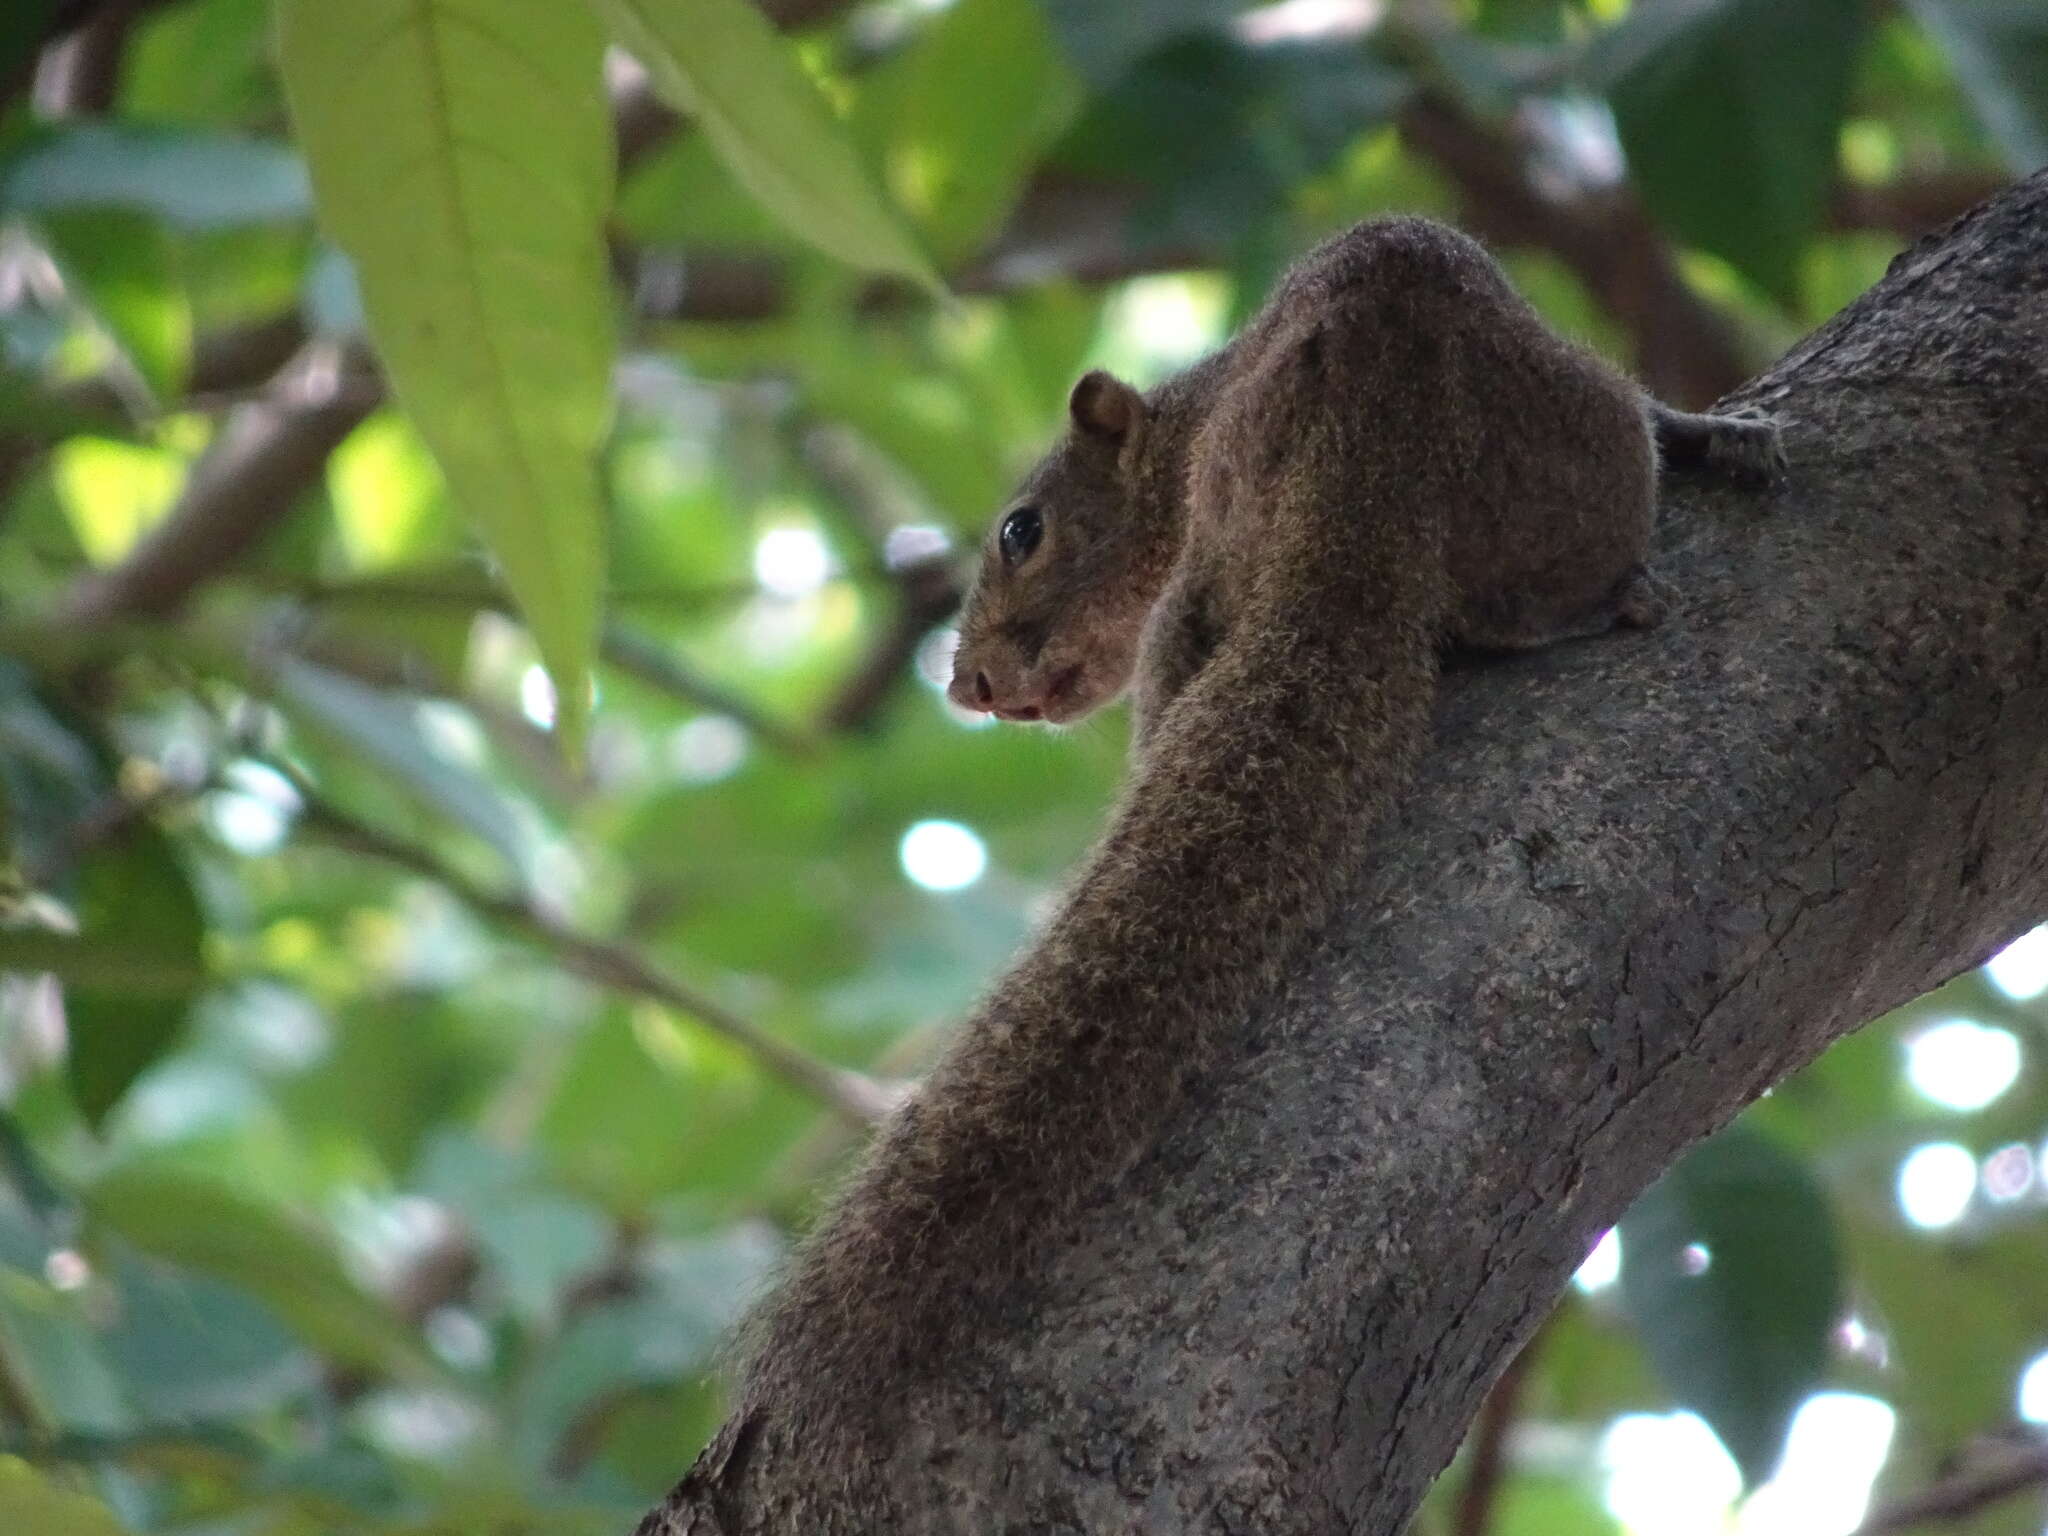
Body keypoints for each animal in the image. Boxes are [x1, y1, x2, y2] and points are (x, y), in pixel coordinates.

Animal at [651, 214, 1777, 1515]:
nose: (969, 682)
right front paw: (1713, 432)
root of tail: (1368, 477)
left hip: (1222, 579)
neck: (1194, 406)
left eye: (1021, 529)